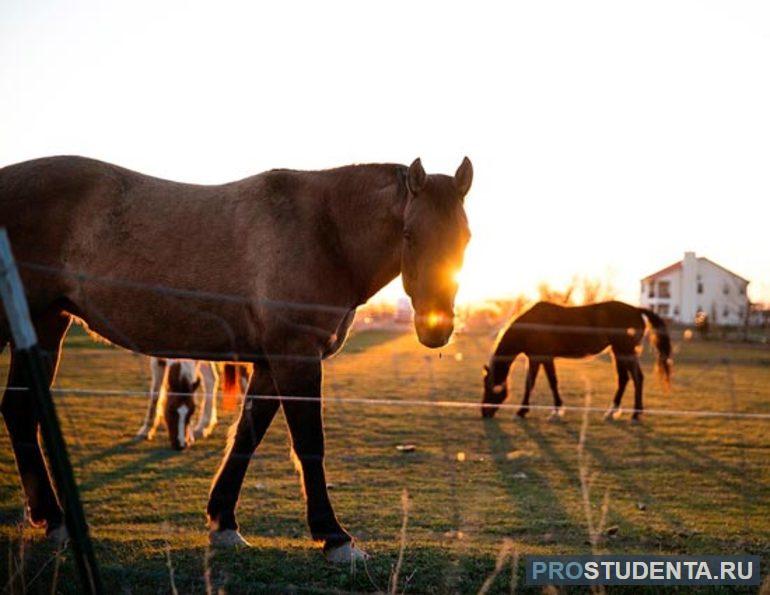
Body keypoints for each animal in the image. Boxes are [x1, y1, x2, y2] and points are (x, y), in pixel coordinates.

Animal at [0, 155, 472, 564]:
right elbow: (309, 445)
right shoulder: (296, 357)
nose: (435, 328)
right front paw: (334, 537)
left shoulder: (268, 364)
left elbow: (246, 435)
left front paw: (223, 521)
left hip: (45, 324)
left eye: (465, 238)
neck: (324, 231)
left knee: (19, 412)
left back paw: (53, 520)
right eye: (409, 234)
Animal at [476, 302, 668, 424]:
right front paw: (523, 411)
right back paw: (612, 412)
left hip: (624, 351)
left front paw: (554, 412)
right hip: (619, 351)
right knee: (625, 379)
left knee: (636, 378)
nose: (484, 412)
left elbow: (551, 382)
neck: (532, 325)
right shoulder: (535, 358)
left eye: (490, 387)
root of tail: (636, 310)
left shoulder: (545, 357)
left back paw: (635, 415)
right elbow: (530, 383)